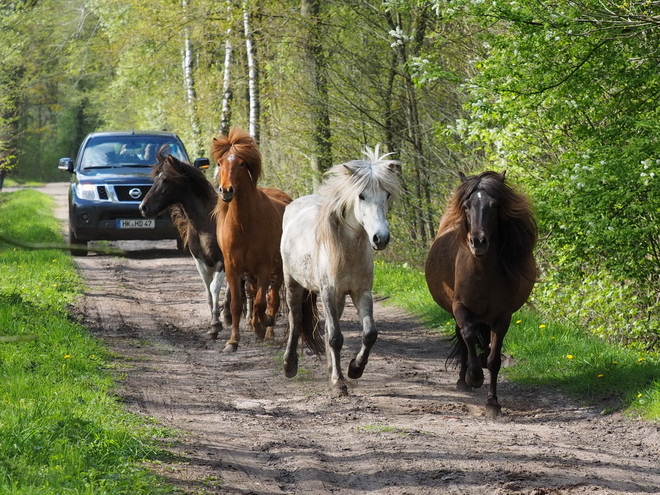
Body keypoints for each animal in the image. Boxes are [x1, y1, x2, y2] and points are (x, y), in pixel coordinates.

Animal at [213, 128, 292, 352]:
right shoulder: (233, 268)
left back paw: (268, 330)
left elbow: (260, 303)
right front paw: (232, 341)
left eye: (241, 163)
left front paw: (263, 324)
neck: (244, 225)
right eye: (220, 163)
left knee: (272, 299)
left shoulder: (264, 267)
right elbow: (237, 304)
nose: (226, 190)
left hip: (277, 269)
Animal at [280, 146, 400, 396]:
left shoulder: (361, 292)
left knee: (326, 329)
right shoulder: (328, 292)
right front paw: (338, 383)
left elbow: (369, 334)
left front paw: (354, 369)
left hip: (339, 300)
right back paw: (289, 365)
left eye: (387, 195)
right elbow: (335, 337)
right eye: (361, 196)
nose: (381, 238)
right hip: (293, 283)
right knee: (296, 319)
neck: (348, 249)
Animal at [422, 172, 536, 416]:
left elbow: (494, 360)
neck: (483, 273)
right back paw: (463, 380)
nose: (478, 242)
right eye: (466, 206)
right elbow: (468, 336)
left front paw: (492, 403)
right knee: (464, 339)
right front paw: (473, 377)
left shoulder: (502, 317)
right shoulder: (461, 309)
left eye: (494, 206)